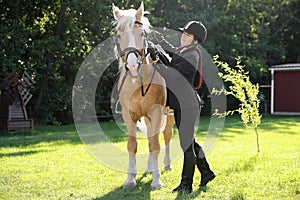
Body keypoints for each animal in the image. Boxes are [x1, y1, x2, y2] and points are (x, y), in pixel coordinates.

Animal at [112, 2, 173, 189]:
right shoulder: (129, 115)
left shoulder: (157, 112)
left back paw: (166, 165)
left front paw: (156, 180)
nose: (132, 66)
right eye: (119, 35)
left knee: (166, 136)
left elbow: (155, 144)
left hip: (169, 115)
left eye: (141, 34)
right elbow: (132, 145)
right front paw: (130, 180)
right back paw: (149, 168)